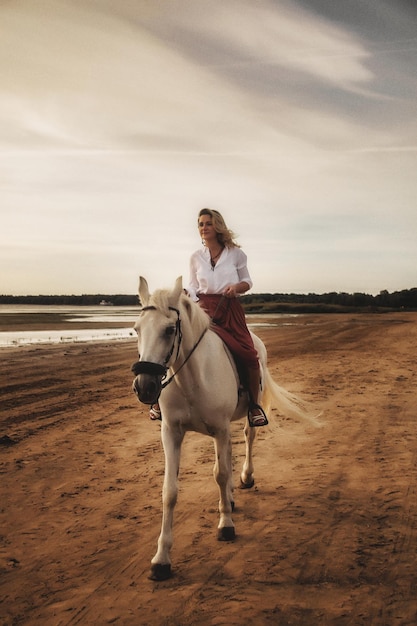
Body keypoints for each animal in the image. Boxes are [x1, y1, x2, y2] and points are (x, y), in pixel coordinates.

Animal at [132, 276, 314, 576]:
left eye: (169, 330)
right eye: (136, 329)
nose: (144, 387)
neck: (191, 377)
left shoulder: (219, 428)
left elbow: (219, 473)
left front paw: (226, 525)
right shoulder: (171, 432)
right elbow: (170, 491)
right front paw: (161, 558)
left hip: (242, 420)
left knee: (247, 440)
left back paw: (245, 478)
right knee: (228, 455)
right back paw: (228, 497)